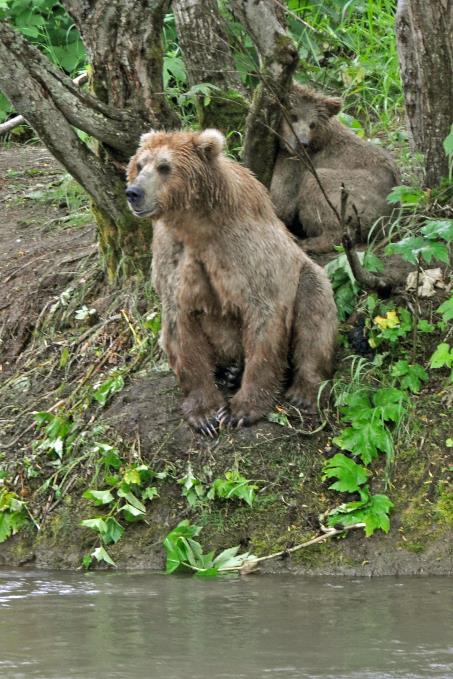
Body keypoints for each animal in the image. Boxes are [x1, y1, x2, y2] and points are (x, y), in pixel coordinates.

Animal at [125, 129, 338, 436]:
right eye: (139, 165)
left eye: (165, 167)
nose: (134, 193)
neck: (196, 224)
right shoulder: (174, 257)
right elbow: (180, 326)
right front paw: (205, 414)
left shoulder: (243, 253)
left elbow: (263, 318)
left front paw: (240, 410)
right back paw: (230, 372)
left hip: (306, 274)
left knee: (315, 313)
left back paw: (303, 390)